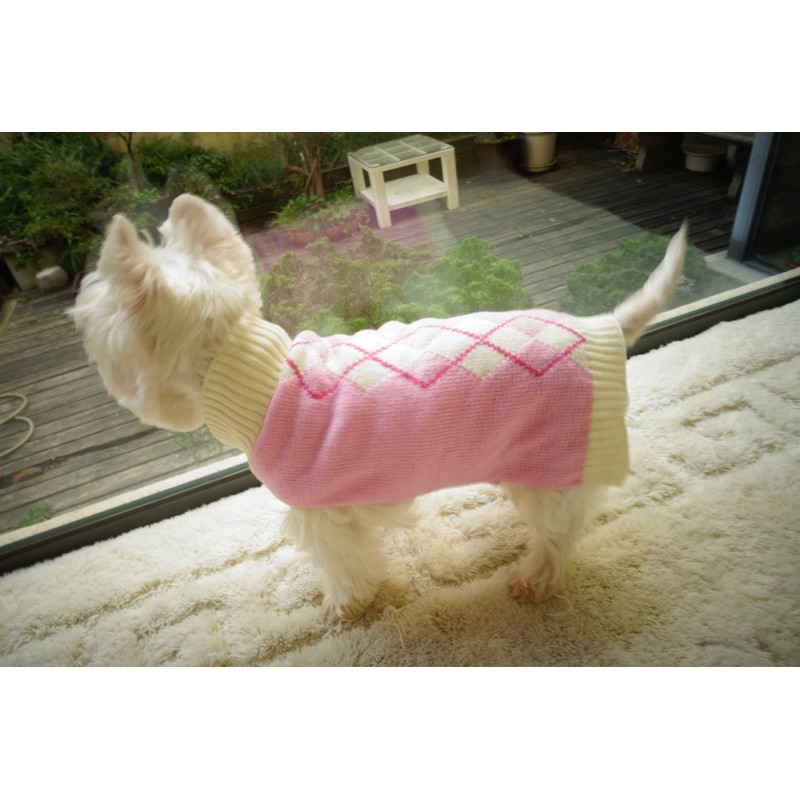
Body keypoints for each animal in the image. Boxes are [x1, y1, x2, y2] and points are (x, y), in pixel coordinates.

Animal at [73, 194, 687, 619]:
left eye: (91, 324)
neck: (258, 376)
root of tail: (605, 327)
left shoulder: (323, 513)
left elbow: (345, 567)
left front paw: (344, 607)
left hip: (553, 464)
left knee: (559, 536)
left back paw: (532, 579)